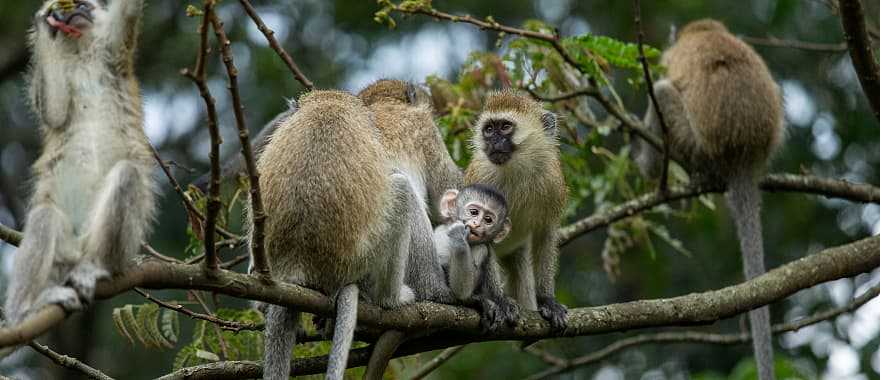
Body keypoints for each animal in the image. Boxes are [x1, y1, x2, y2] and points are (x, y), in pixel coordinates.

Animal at [3, 0, 155, 326]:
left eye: (86, 6)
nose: (76, 13)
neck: (82, 51)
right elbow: (55, 111)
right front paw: (45, 23)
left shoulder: (114, 50)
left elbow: (128, 13)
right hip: (62, 255)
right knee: (45, 215)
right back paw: (23, 311)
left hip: (113, 247)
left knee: (127, 175)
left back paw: (95, 267)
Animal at [434, 184, 520, 330]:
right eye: (473, 212)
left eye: (488, 220)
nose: (476, 224)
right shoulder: (442, 238)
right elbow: (459, 293)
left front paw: (502, 301)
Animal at [460, 90, 572, 330]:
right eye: (489, 129)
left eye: (505, 127)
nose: (493, 142)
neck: (518, 169)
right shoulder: (481, 179)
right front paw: (500, 300)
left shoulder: (553, 182)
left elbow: (546, 234)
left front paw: (547, 299)